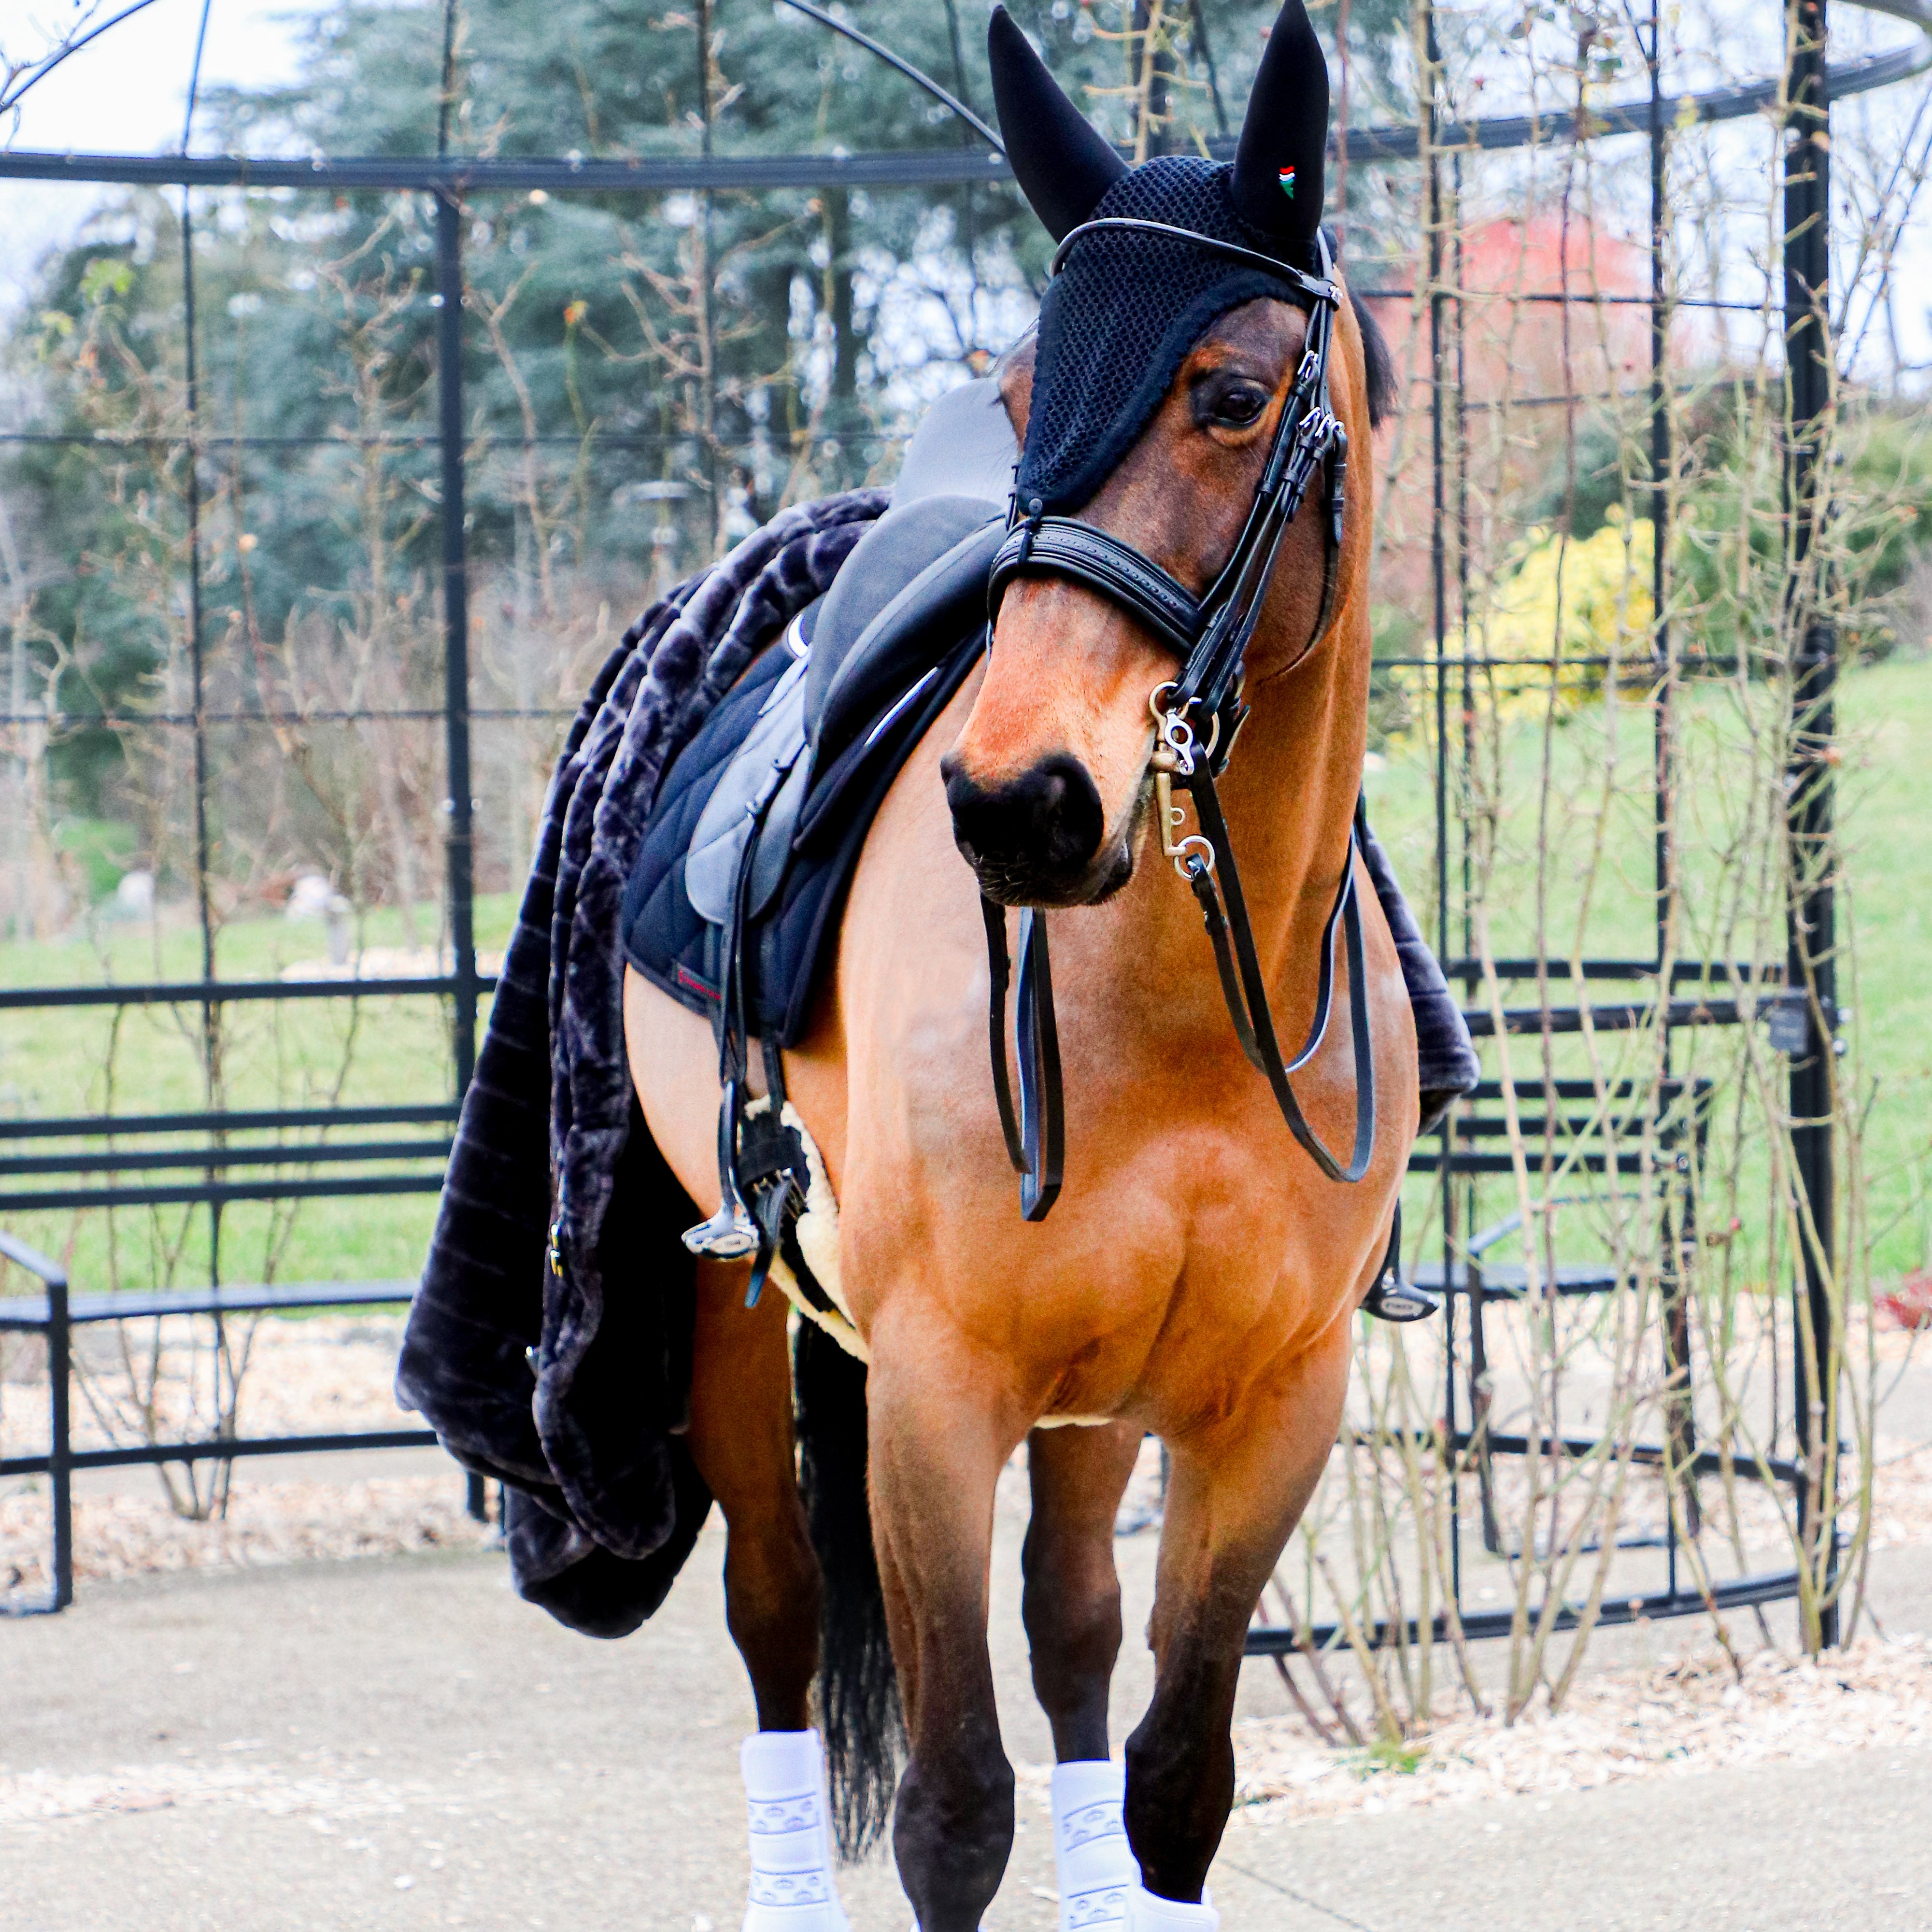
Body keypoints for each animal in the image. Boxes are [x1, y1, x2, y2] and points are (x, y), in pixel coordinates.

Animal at [626, 7, 1414, 1924]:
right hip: (729, 1305)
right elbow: (953, 1807)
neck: (1184, 1013)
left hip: (1089, 1404)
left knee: (1068, 1625)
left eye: (1228, 393)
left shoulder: (1265, 1409)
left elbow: (1173, 1772)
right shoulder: (931, 1401)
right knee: (776, 1614)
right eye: (1021, 393)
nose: (1017, 803)